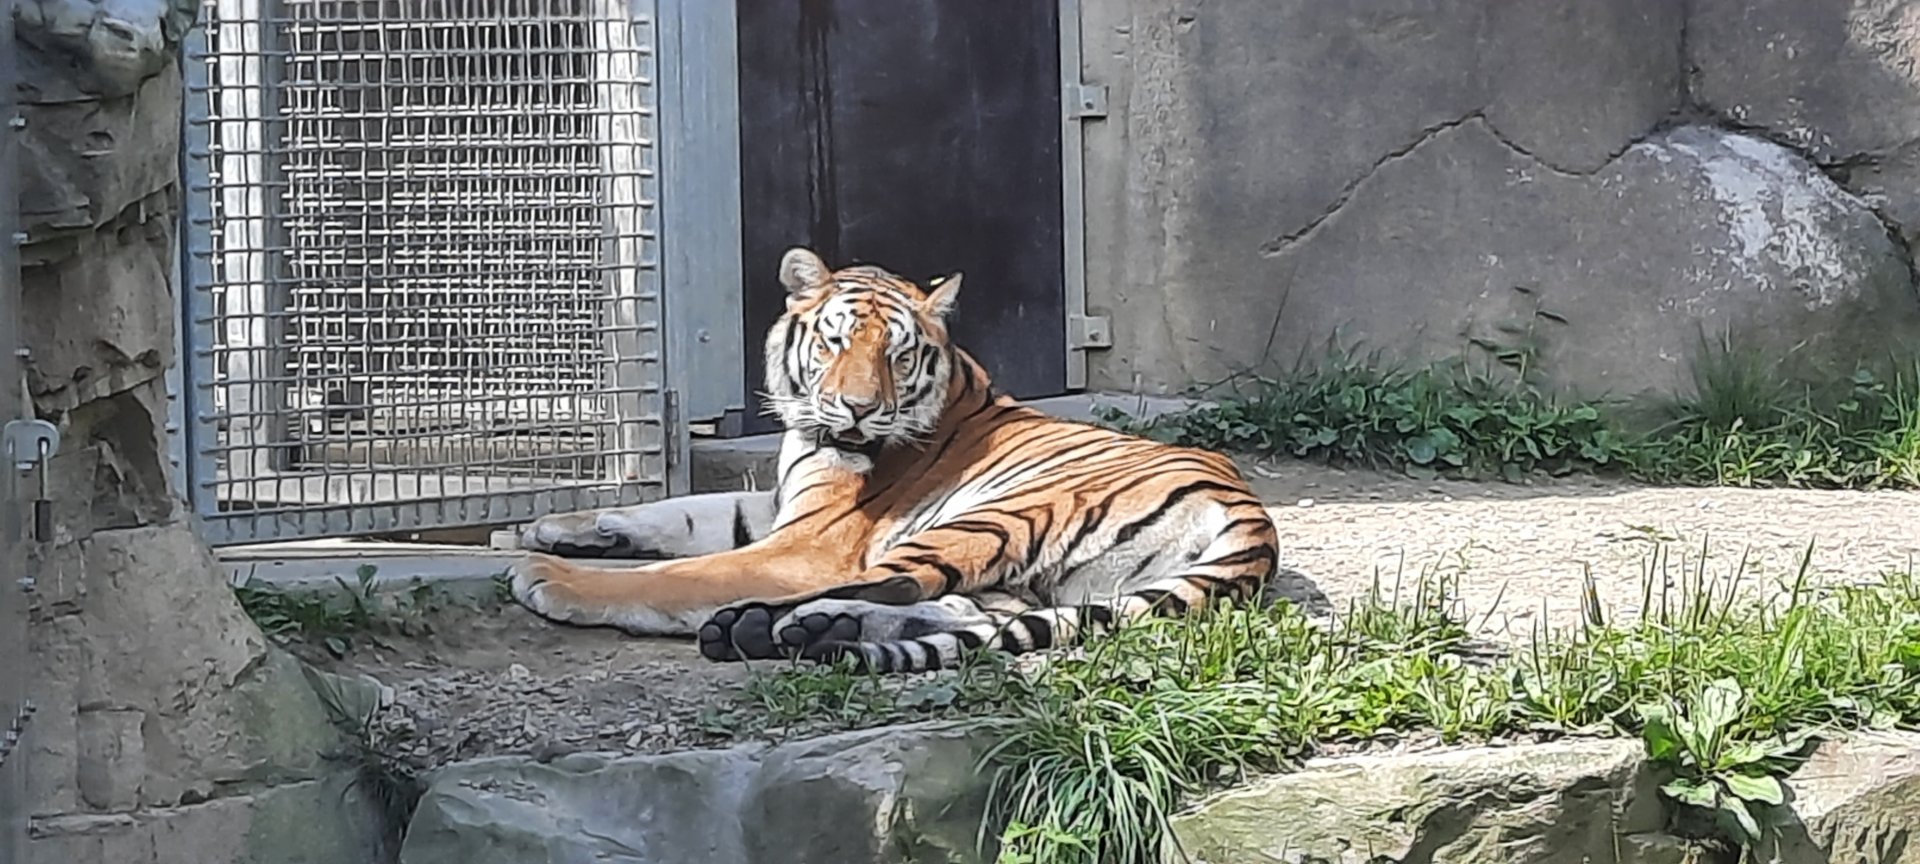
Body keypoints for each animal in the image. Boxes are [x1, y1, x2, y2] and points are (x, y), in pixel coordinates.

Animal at [507, 246, 1282, 674]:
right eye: (835, 341)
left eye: (897, 355)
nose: (855, 409)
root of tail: (1253, 518)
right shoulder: (778, 504)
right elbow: (682, 512)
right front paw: (546, 527)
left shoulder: (809, 545)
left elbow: (678, 574)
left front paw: (549, 575)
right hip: (1025, 579)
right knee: (963, 611)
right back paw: (819, 631)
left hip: (988, 518)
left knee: (896, 586)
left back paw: (767, 626)